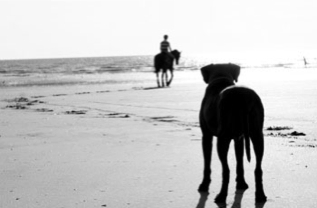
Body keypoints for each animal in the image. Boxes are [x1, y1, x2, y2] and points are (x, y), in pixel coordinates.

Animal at [199, 63, 266, 203]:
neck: (221, 78)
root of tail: (242, 97)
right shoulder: (238, 138)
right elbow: (239, 160)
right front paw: (241, 183)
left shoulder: (206, 135)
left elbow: (207, 162)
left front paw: (204, 184)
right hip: (257, 133)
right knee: (258, 167)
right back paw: (260, 195)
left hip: (223, 137)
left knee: (226, 169)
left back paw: (221, 196)